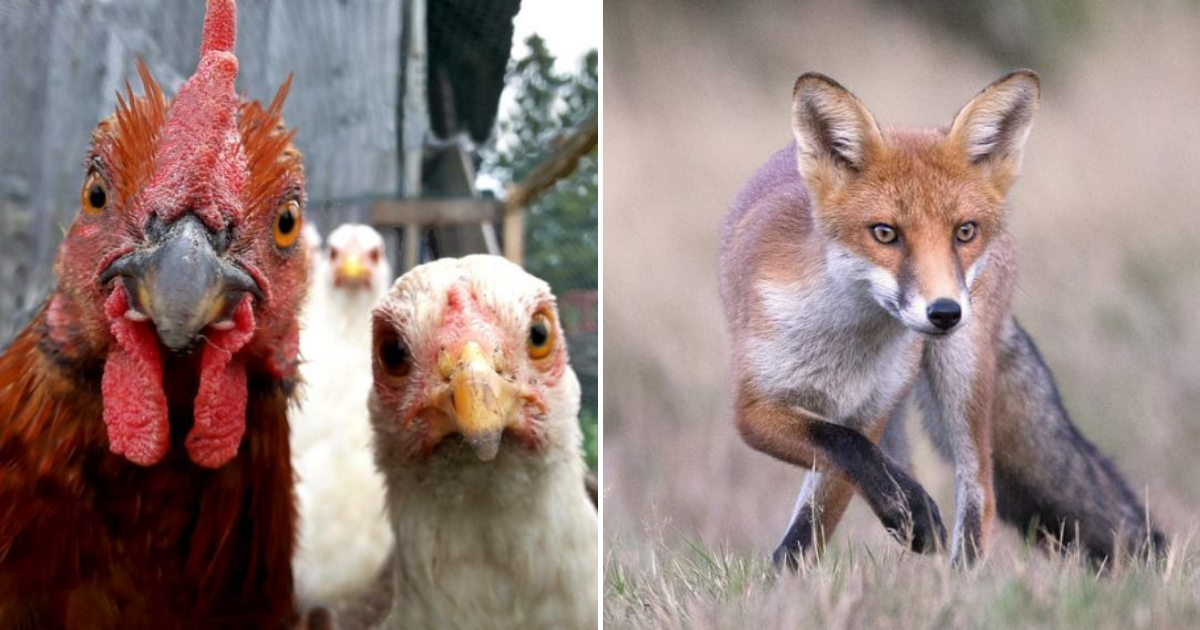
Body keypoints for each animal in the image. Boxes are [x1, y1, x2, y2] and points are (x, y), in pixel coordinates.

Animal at [719, 70, 1166, 567]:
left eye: (964, 232)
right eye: (885, 233)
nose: (946, 312)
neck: (841, 344)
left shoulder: (869, 412)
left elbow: (832, 490)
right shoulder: (755, 409)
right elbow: (845, 457)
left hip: (959, 372)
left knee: (980, 491)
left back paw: (960, 579)